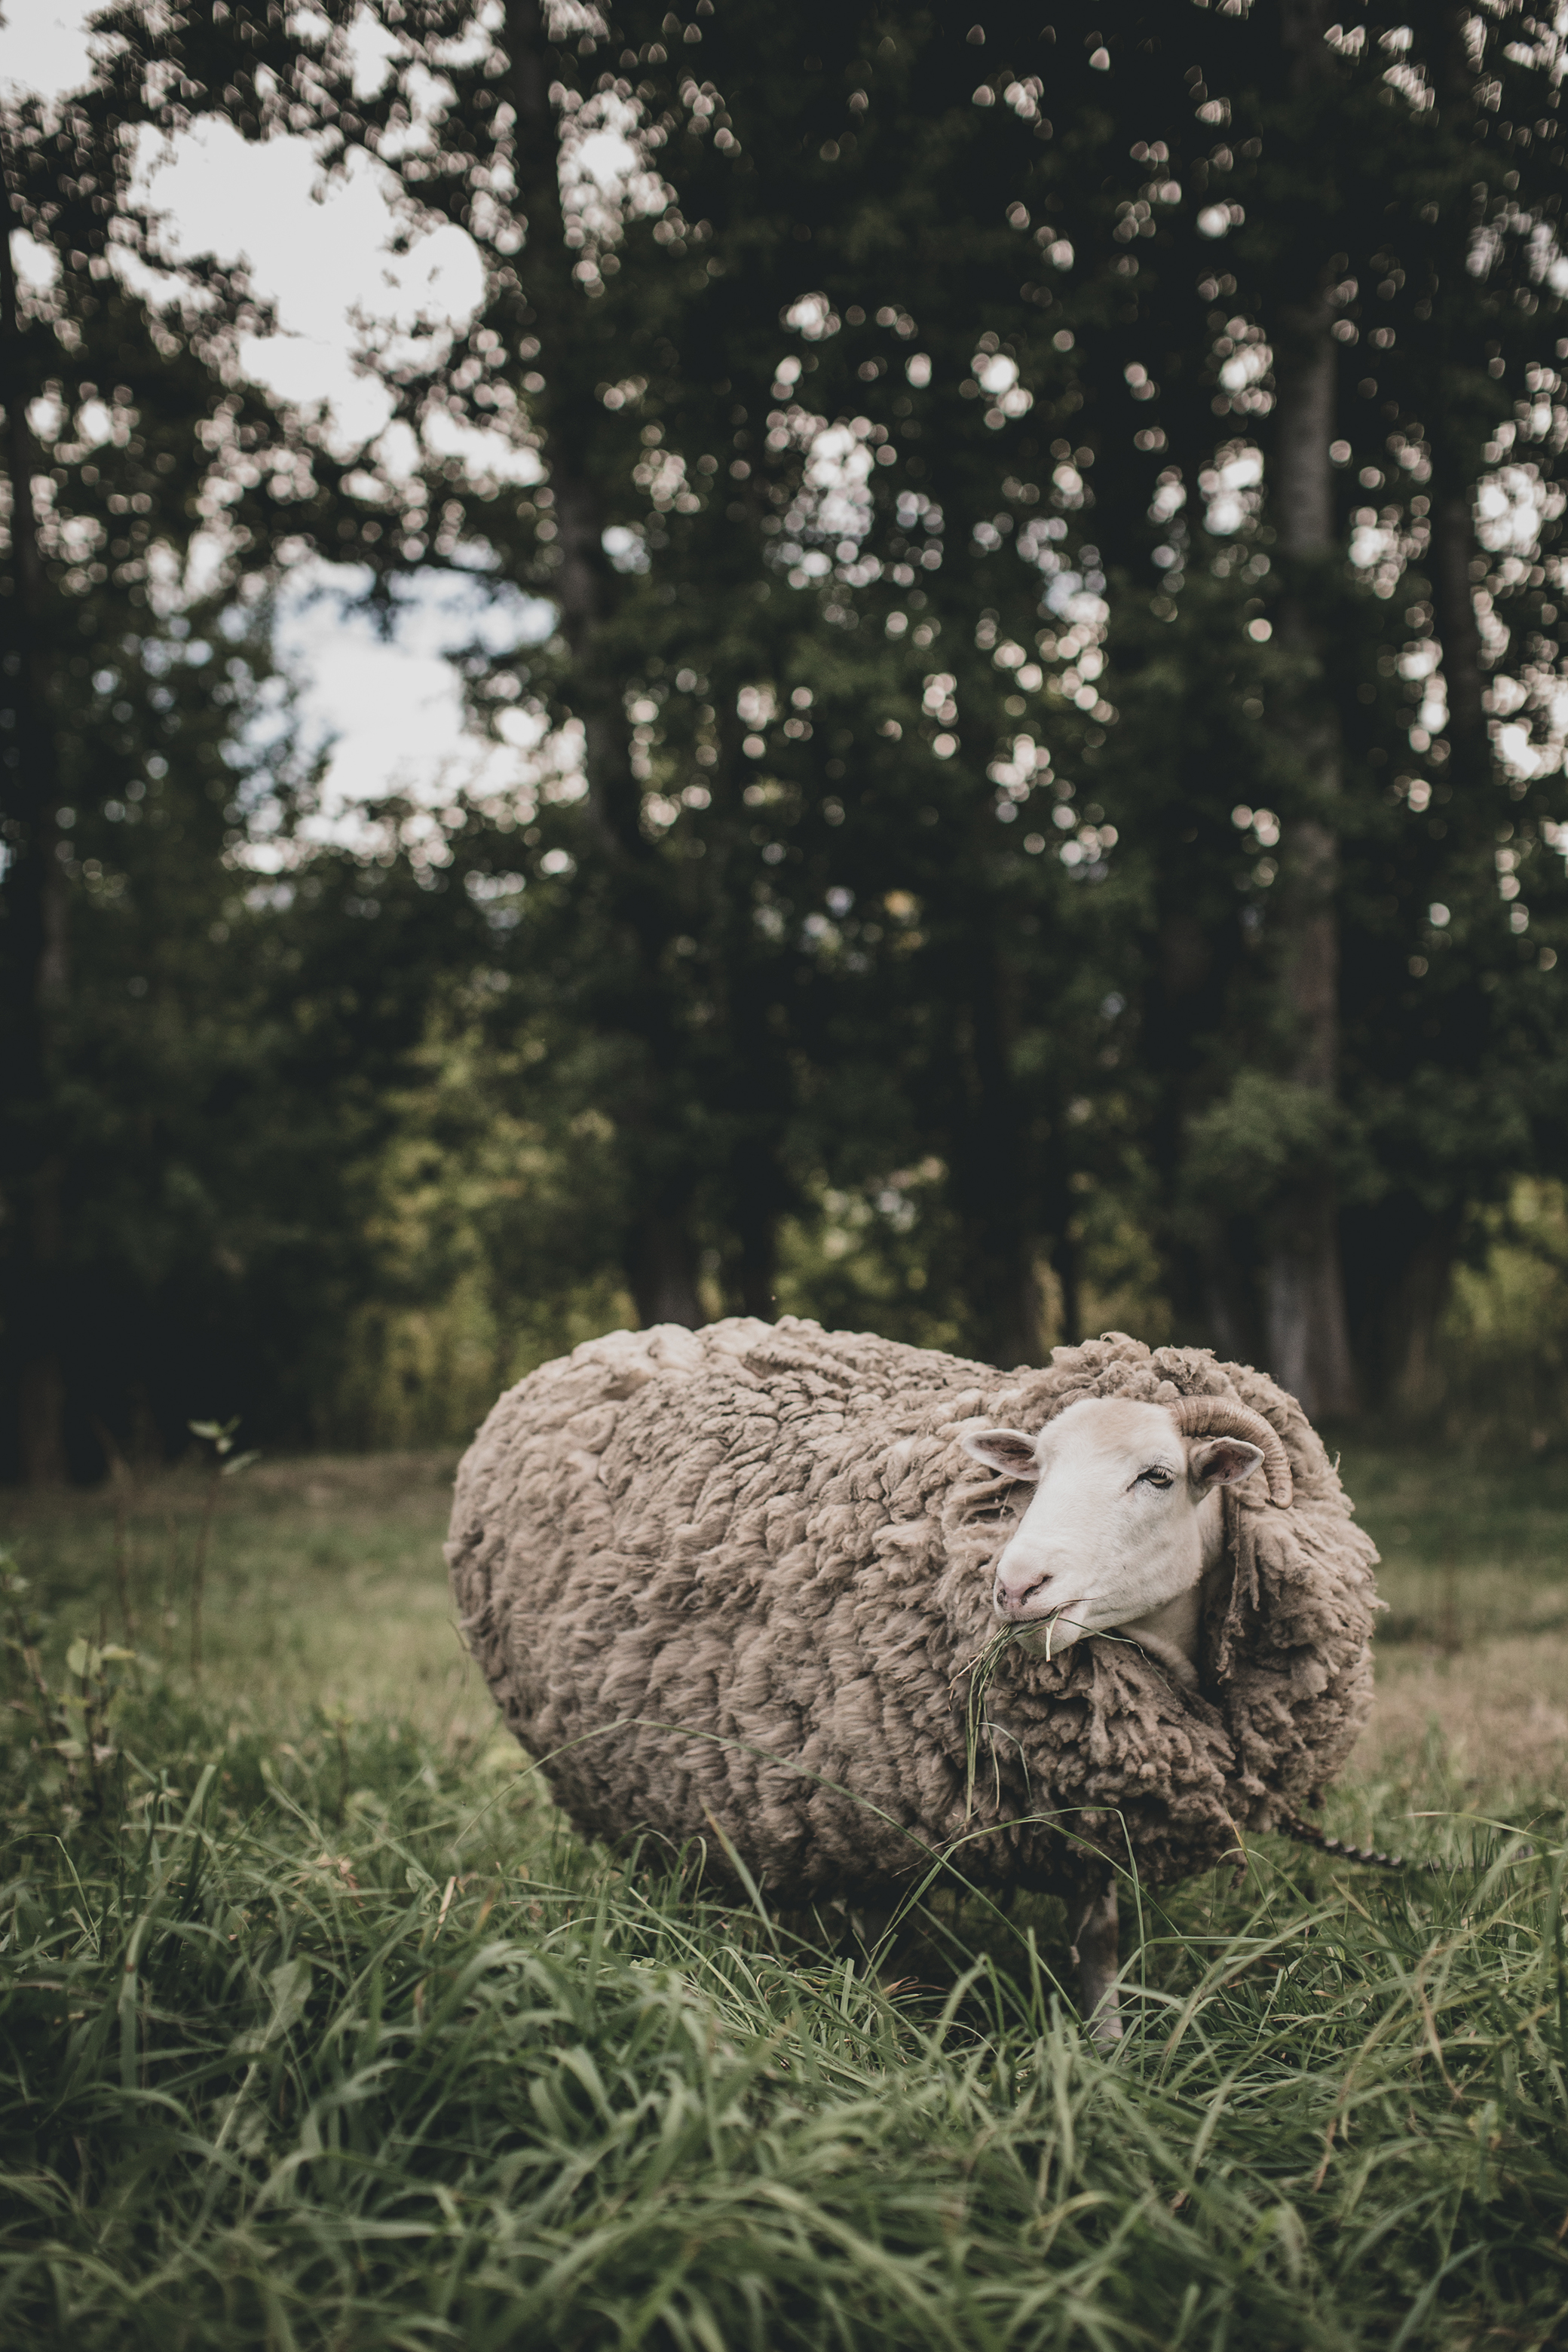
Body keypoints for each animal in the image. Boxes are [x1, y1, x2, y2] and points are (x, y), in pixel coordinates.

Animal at [446, 1326, 1382, 2041]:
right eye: (1032, 1475)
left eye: (1158, 1475)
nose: (1017, 1586)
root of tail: (589, 1351)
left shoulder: (1093, 1808)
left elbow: (1100, 1941)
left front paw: (1108, 2052)